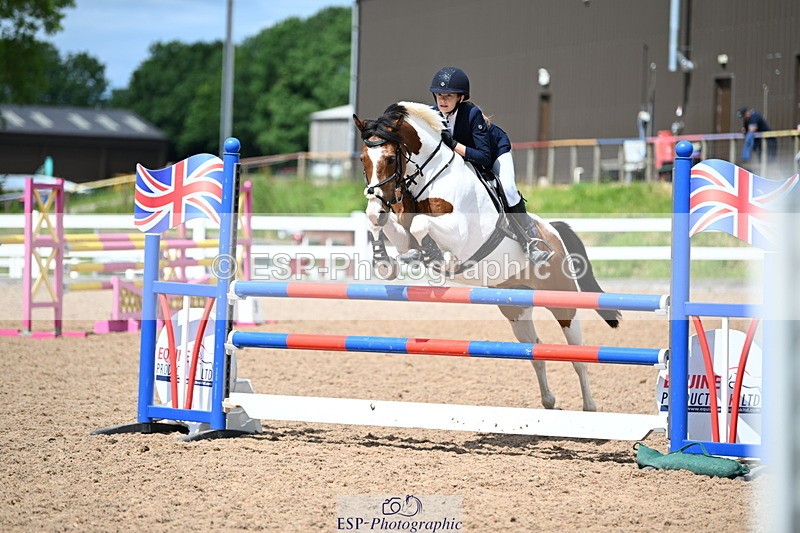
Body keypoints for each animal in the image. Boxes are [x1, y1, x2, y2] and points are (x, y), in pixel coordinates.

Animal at [352, 101, 621, 412]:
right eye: (363, 159)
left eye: (390, 158)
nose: (378, 205)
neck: (429, 177)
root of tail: (553, 232)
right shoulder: (402, 230)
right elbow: (386, 227)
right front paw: (385, 262)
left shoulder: (460, 233)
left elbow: (421, 225)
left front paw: (436, 258)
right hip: (515, 309)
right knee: (535, 350)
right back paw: (549, 401)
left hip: (561, 299)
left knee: (578, 354)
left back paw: (589, 407)